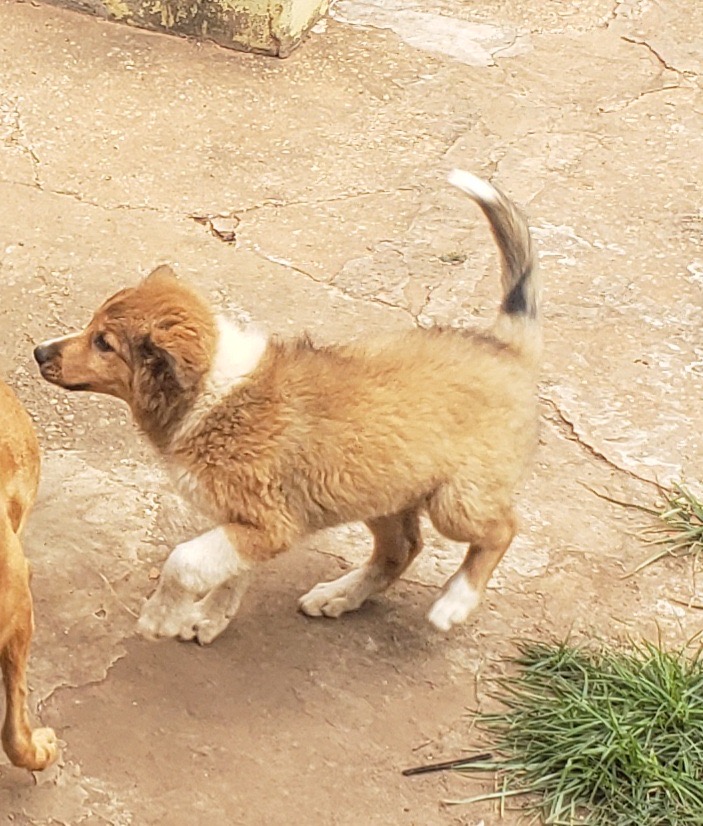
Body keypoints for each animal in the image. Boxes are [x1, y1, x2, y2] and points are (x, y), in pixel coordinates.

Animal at [33, 169, 540, 644]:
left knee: (503, 529)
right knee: (402, 548)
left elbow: (185, 561)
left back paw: (455, 601)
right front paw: (208, 618)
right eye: (92, 327)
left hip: (456, 501)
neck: (210, 393)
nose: (39, 352)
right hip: (382, 489)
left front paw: (162, 618)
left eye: (104, 343)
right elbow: (228, 573)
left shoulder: (270, 522)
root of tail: (506, 348)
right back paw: (339, 595)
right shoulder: (248, 523)